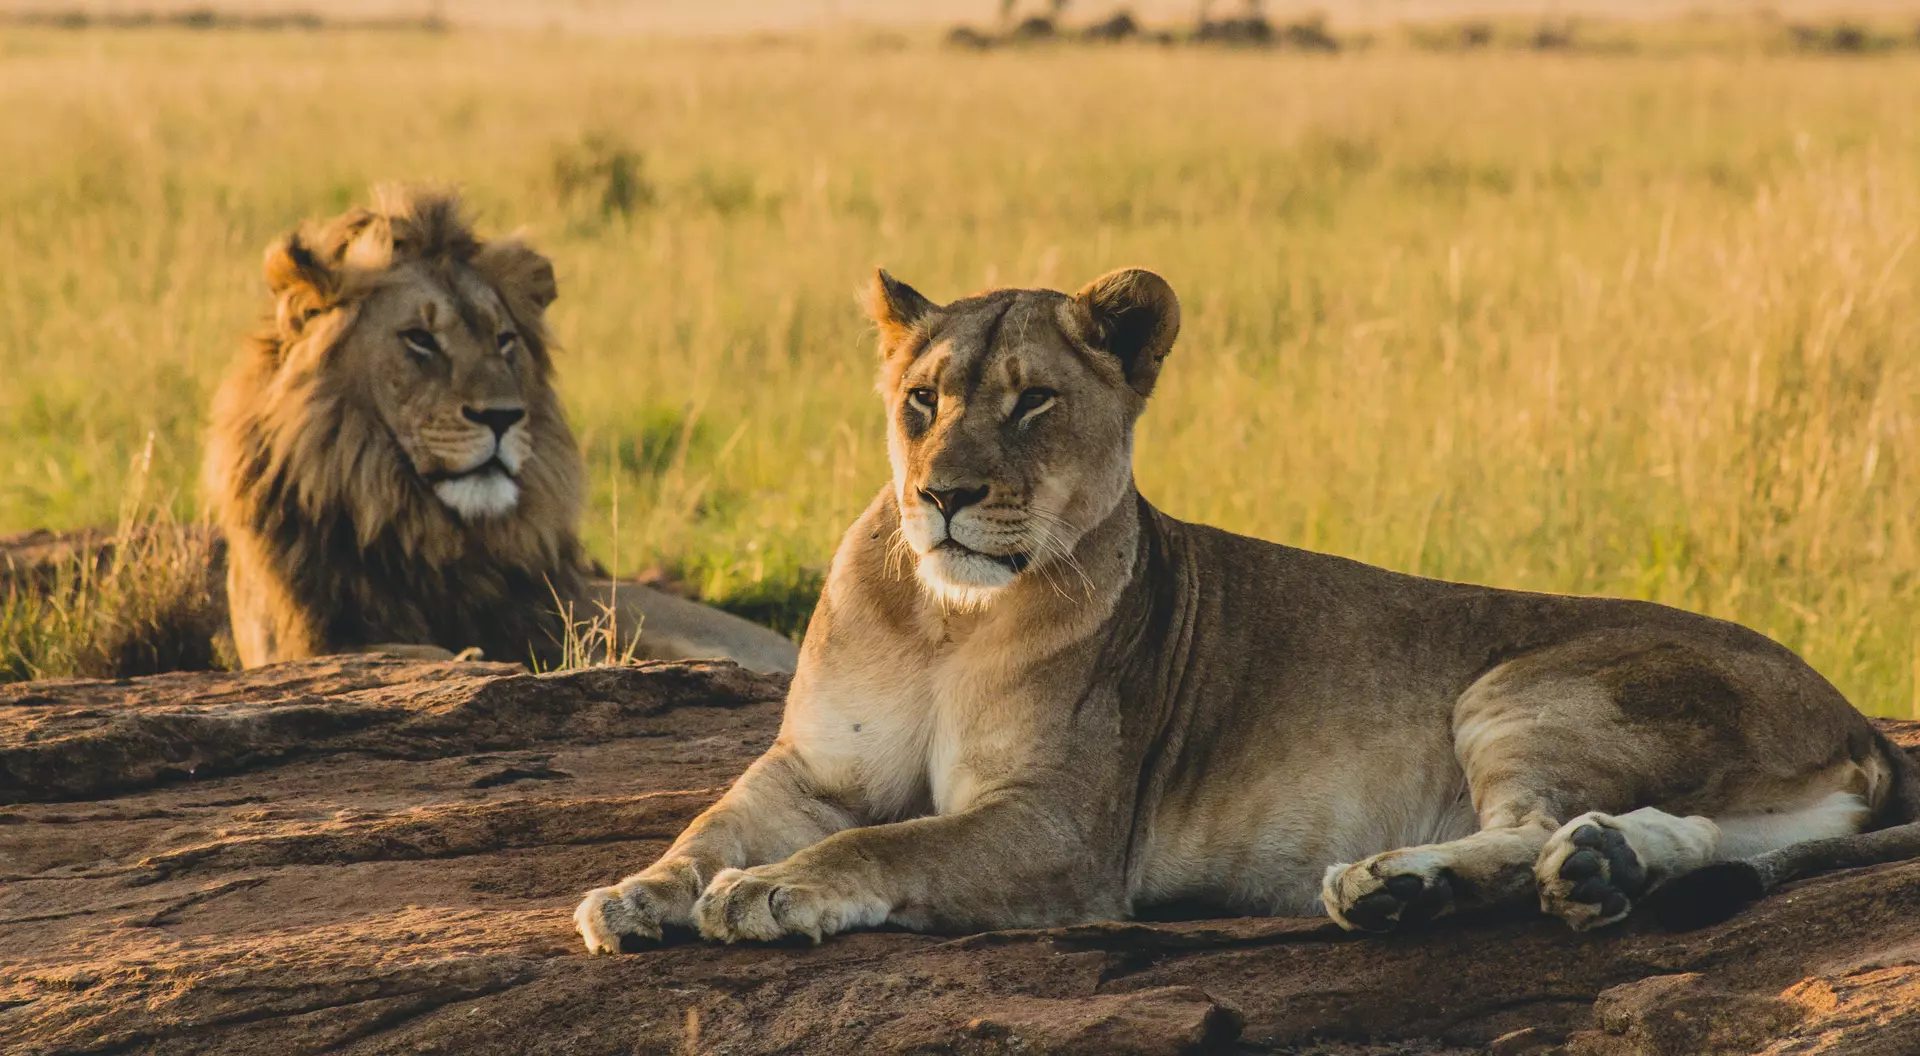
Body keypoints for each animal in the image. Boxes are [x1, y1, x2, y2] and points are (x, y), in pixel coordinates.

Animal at [574, 266, 1920, 951]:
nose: (944, 496)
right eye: (922, 401)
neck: (945, 618)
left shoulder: (1062, 830)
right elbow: (713, 822)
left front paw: (769, 894)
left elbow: (884, 846)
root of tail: (1858, 720)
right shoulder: (814, 767)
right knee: (1673, 835)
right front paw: (637, 894)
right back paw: (1588, 870)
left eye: (1032, 402)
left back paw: (1401, 883)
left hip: (1519, 686)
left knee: (1532, 825)